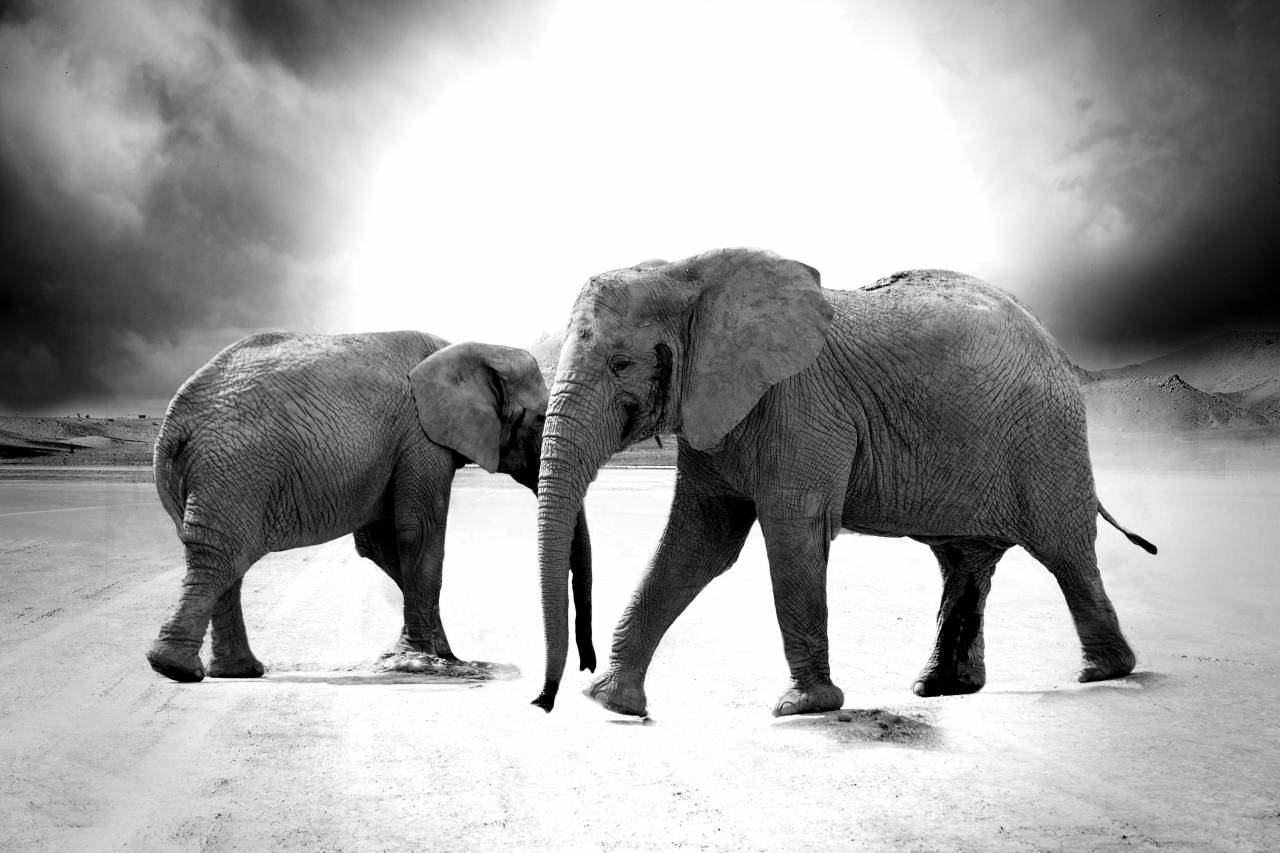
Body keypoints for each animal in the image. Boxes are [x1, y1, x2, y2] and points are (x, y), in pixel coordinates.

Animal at [147, 330, 595, 683]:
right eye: (541, 420)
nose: (586, 668)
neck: (469, 349)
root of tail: (173, 424)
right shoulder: (420, 437)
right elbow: (418, 534)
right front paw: (425, 660)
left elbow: (381, 546)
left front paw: (444, 655)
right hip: (234, 471)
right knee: (222, 558)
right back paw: (177, 669)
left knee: (224, 561)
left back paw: (235, 672)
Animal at [531, 248, 1155, 716]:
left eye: (620, 365)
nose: (544, 702)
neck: (689, 274)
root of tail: (1054, 345)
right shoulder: (716, 412)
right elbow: (699, 542)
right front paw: (611, 702)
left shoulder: (801, 406)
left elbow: (792, 532)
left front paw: (803, 707)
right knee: (964, 562)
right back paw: (942, 689)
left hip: (1047, 439)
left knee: (1064, 550)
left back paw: (1103, 672)